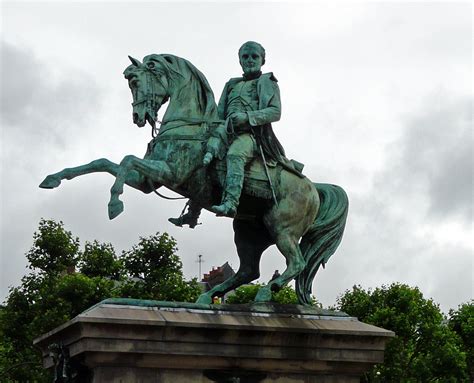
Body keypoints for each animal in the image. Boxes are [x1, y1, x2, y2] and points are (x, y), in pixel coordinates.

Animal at [39, 54, 348, 306]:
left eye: (135, 80)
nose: (139, 116)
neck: (187, 126)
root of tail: (313, 188)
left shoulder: (169, 173)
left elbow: (125, 161)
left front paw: (114, 204)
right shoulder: (148, 181)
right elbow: (104, 162)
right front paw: (54, 178)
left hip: (282, 228)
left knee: (296, 263)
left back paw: (265, 292)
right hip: (247, 230)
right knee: (249, 269)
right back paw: (210, 296)